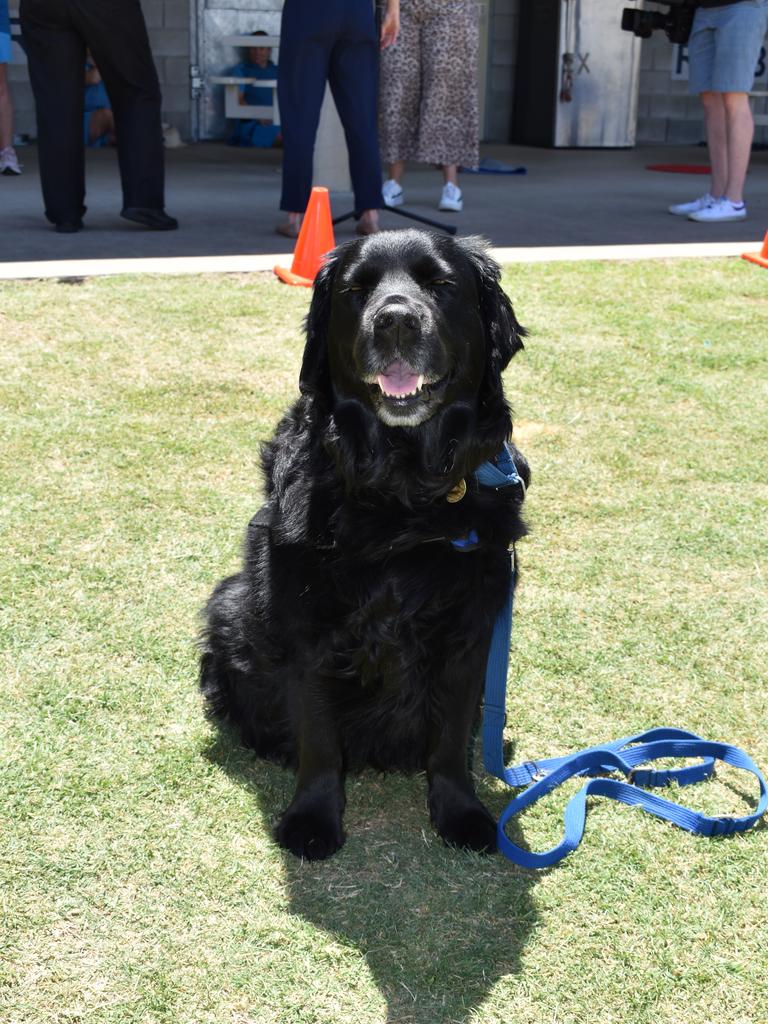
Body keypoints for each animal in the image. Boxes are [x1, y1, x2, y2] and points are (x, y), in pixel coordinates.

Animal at [201, 228, 532, 860]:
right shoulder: (310, 629)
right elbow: (319, 739)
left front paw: (461, 813)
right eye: (356, 290)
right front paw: (312, 818)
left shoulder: (470, 628)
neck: (401, 494)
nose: (396, 321)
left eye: (440, 283)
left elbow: (449, 740)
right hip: (228, 602)